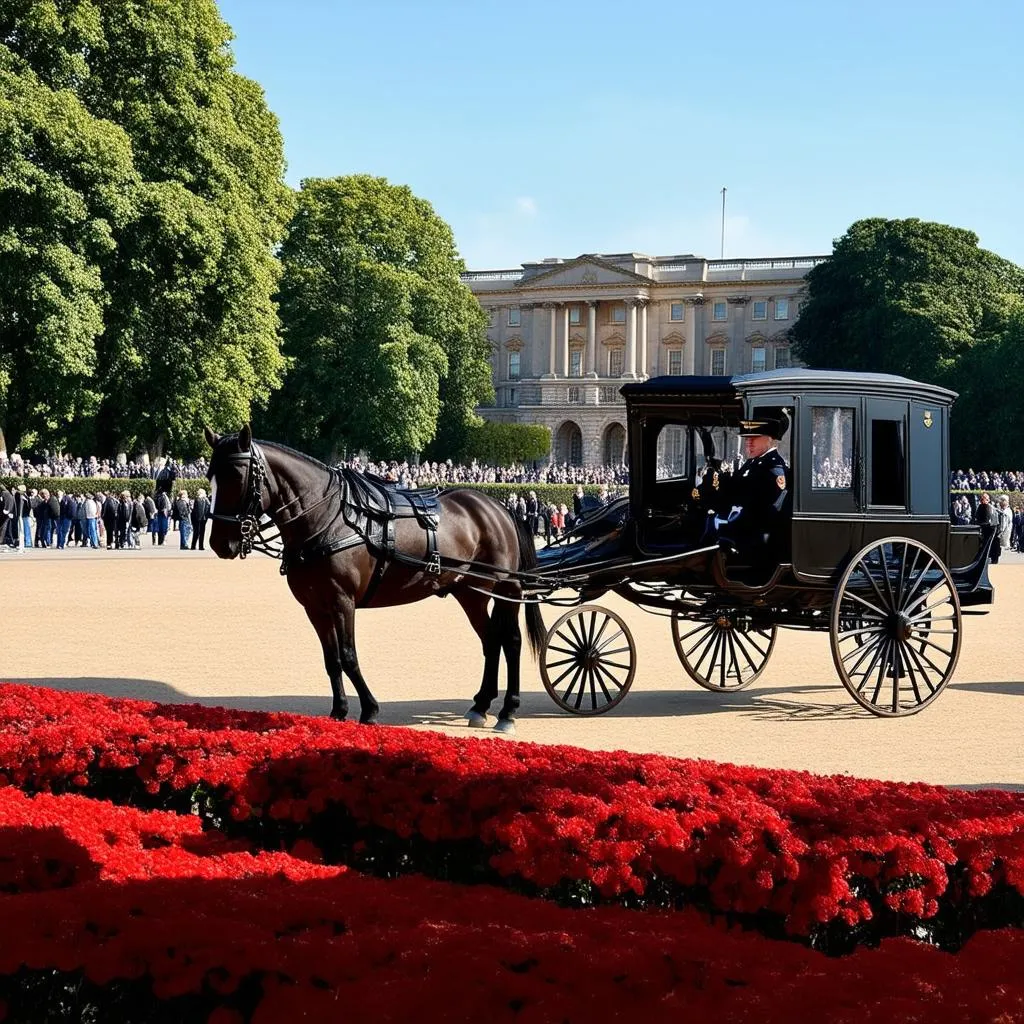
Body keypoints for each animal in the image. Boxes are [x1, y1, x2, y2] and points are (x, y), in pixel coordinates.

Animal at [202, 425, 548, 737]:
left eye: (237, 476)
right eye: (210, 476)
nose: (220, 543)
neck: (326, 519)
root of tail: (498, 506)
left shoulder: (342, 601)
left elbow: (348, 656)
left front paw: (368, 708)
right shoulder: (315, 607)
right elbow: (331, 660)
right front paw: (339, 711)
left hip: (505, 589)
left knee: (510, 642)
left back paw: (508, 710)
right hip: (470, 592)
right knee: (491, 641)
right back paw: (481, 705)